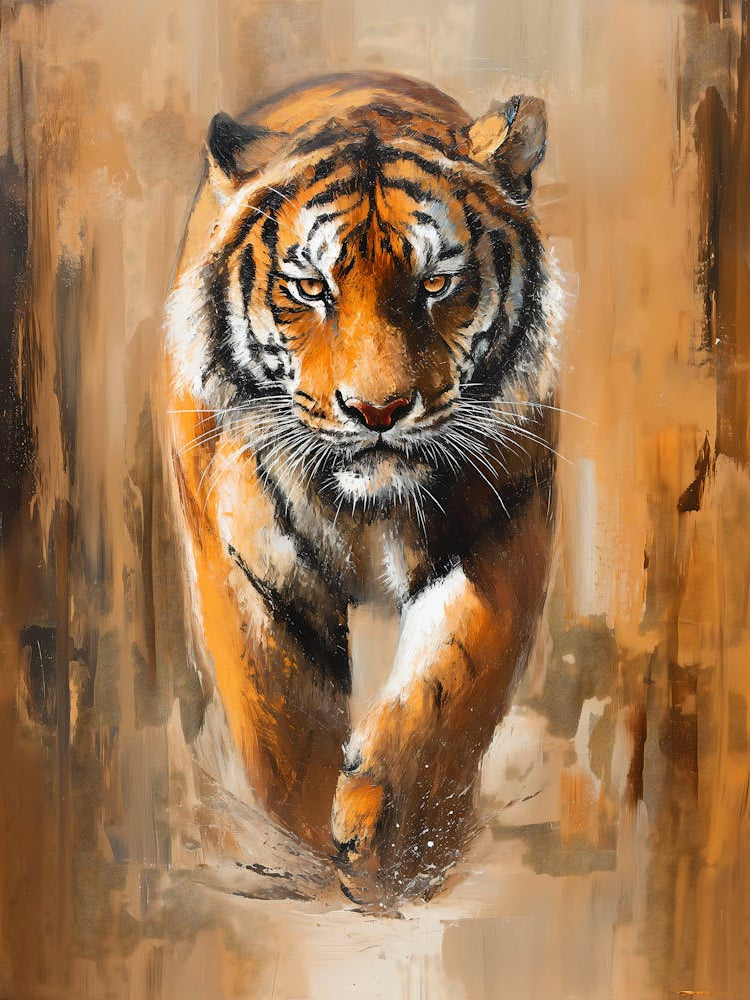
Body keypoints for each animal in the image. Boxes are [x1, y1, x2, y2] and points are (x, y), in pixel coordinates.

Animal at [165, 71, 560, 905]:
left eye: (437, 283)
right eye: (310, 287)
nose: (377, 410)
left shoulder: (501, 529)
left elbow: (449, 689)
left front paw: (394, 845)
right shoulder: (249, 569)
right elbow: (283, 726)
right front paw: (315, 851)